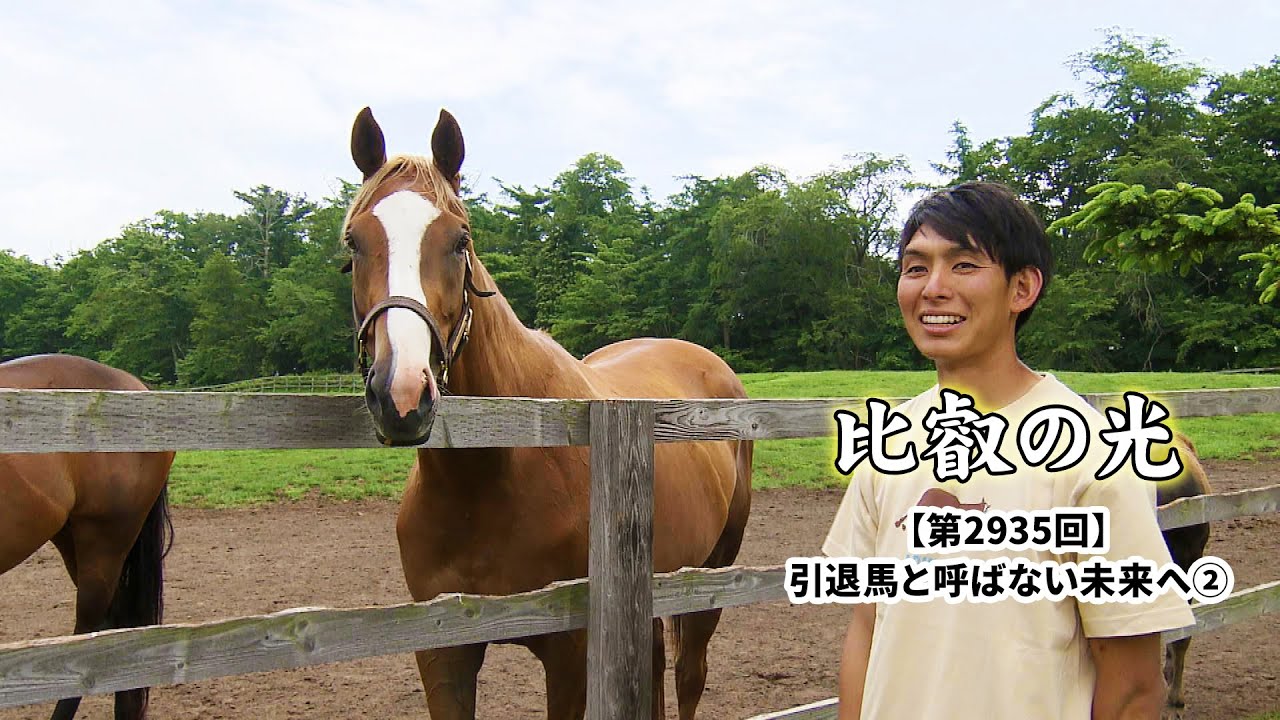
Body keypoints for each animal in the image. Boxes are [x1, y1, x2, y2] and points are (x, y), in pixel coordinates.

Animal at [341, 106, 753, 719]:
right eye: (354, 242)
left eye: (459, 240)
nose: (402, 394)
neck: (495, 473)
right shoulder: (443, 651)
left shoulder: (570, 652)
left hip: (713, 574)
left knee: (688, 676)